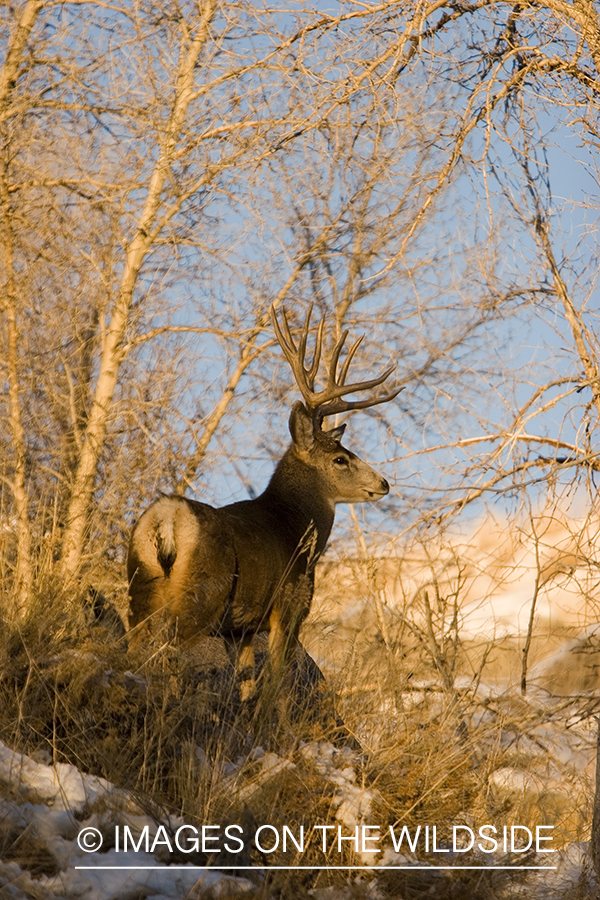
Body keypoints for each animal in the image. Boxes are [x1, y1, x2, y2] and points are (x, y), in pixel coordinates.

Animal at [129, 306, 406, 708]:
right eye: (341, 459)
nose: (383, 483)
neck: (294, 527)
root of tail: (167, 519)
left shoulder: (241, 629)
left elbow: (246, 683)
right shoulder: (289, 607)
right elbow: (276, 684)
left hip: (139, 588)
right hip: (200, 595)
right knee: (171, 651)